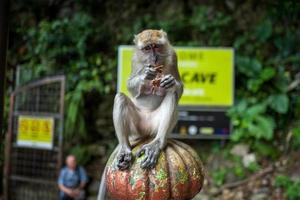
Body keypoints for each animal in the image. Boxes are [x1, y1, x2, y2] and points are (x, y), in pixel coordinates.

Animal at [98, 29, 183, 200]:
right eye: (147, 48)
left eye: (156, 46)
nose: (154, 58)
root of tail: (145, 133)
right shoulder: (134, 58)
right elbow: (130, 85)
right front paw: (145, 75)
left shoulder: (173, 55)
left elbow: (179, 89)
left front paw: (171, 82)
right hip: (136, 126)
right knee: (120, 98)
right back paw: (125, 148)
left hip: (156, 126)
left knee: (171, 95)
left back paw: (157, 143)